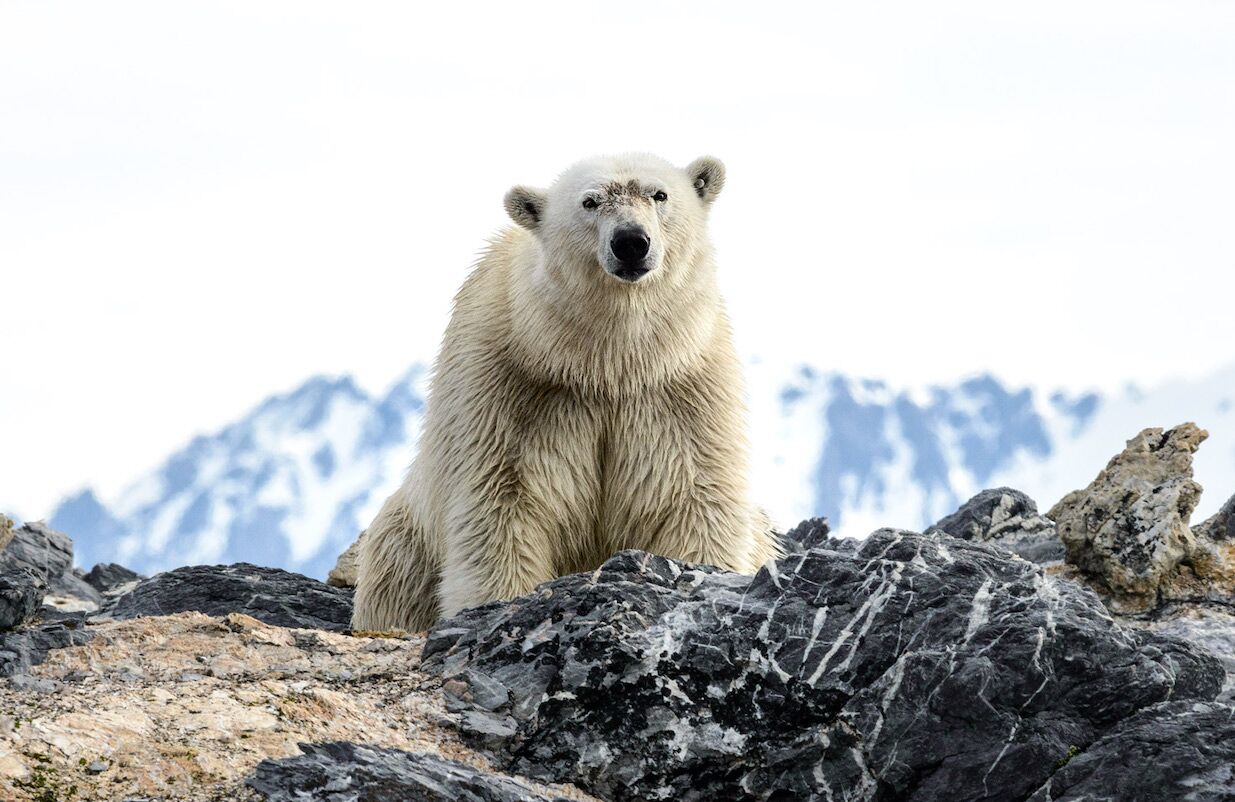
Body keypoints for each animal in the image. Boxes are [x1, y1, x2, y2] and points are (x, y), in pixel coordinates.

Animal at [351, 153, 779, 633]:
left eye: (659, 194)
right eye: (590, 202)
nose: (631, 242)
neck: (605, 364)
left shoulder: (680, 388)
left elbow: (695, 492)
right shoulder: (510, 388)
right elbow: (501, 500)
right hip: (407, 540)